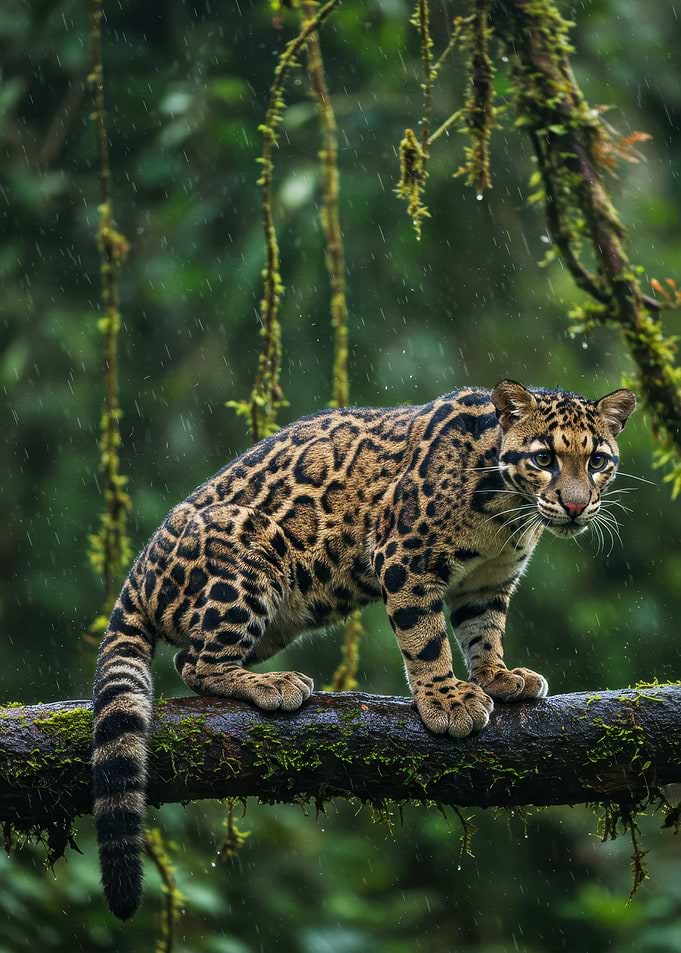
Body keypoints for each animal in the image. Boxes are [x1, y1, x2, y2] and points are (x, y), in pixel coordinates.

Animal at [92, 379, 636, 919]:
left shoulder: (489, 581)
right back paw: (273, 684)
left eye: (598, 461)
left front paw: (498, 677)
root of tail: (139, 572)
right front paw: (446, 701)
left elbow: (485, 633)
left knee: (188, 657)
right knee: (199, 662)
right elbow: (426, 639)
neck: (505, 514)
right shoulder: (405, 557)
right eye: (544, 458)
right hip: (249, 546)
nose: (575, 505)